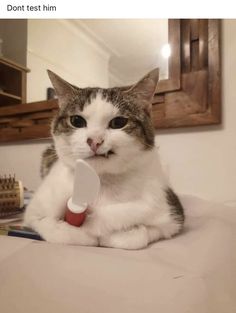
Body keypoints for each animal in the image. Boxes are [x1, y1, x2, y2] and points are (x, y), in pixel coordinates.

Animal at [25, 68, 184, 249]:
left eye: (119, 122)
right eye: (76, 121)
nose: (94, 141)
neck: (100, 182)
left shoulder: (171, 214)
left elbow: (138, 235)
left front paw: (112, 234)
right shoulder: (33, 214)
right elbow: (55, 229)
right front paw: (85, 235)